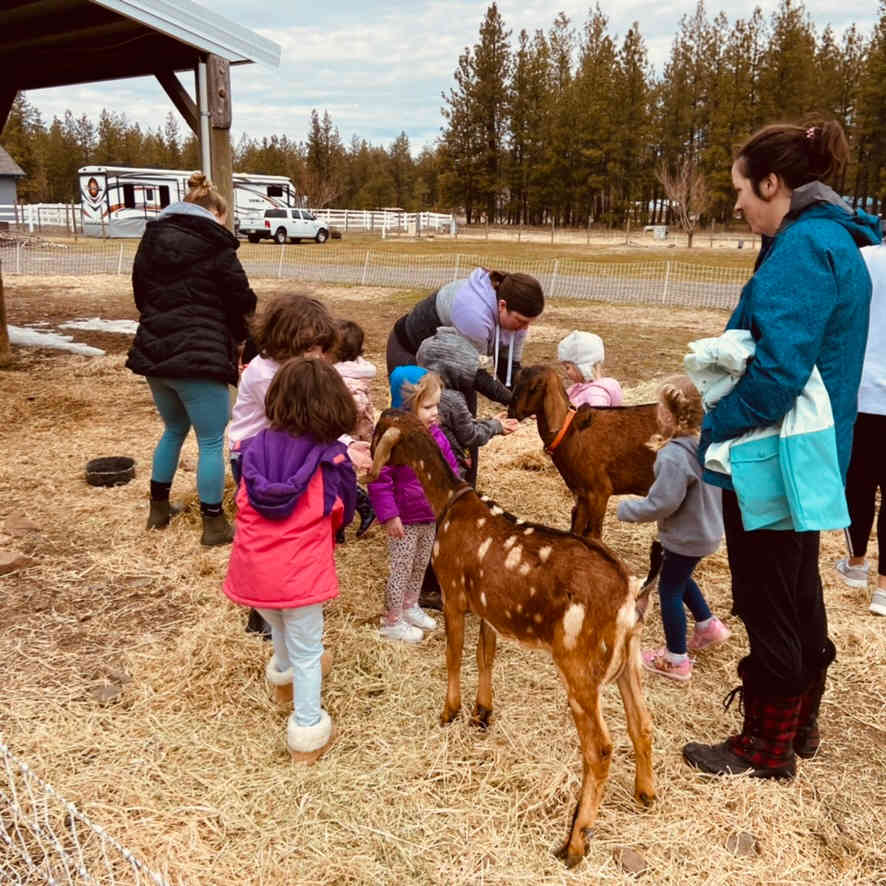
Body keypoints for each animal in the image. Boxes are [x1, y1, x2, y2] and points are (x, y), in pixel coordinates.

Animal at [370, 412, 660, 872]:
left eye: (380, 430)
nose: (366, 464)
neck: (450, 502)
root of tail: (632, 598)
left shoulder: (454, 595)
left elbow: (454, 655)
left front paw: (450, 712)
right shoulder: (490, 609)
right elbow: (484, 655)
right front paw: (482, 713)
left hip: (580, 669)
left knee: (599, 749)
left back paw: (574, 844)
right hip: (628, 660)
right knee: (643, 723)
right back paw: (646, 793)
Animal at [506, 368, 660, 540]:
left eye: (534, 387)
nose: (511, 411)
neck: (570, 433)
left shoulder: (599, 491)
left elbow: (593, 535)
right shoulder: (582, 494)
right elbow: (576, 531)